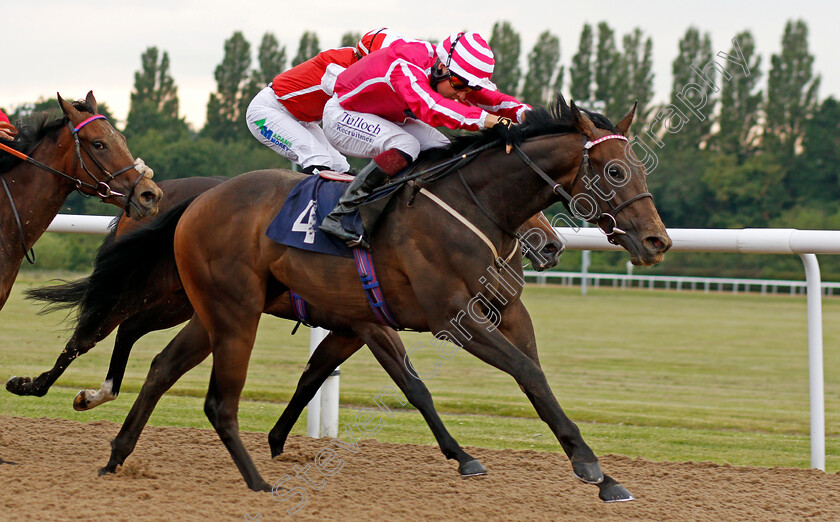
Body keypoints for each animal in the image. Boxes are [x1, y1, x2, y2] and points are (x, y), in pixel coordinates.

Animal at [9, 174, 560, 398]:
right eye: (529, 204)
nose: (552, 244)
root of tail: (154, 199)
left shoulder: (356, 324)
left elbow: (319, 374)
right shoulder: (371, 320)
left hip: (180, 300)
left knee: (128, 330)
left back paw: (98, 391)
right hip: (158, 289)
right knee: (93, 330)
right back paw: (37, 385)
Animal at [83, 97, 668, 500]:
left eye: (641, 169)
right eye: (616, 170)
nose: (656, 241)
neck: (468, 208)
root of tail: (197, 201)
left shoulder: (494, 312)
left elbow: (534, 379)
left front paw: (599, 471)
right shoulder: (436, 318)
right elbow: (451, 382)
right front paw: (581, 467)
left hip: (216, 312)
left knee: (162, 366)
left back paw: (116, 457)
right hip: (214, 307)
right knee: (149, 347)